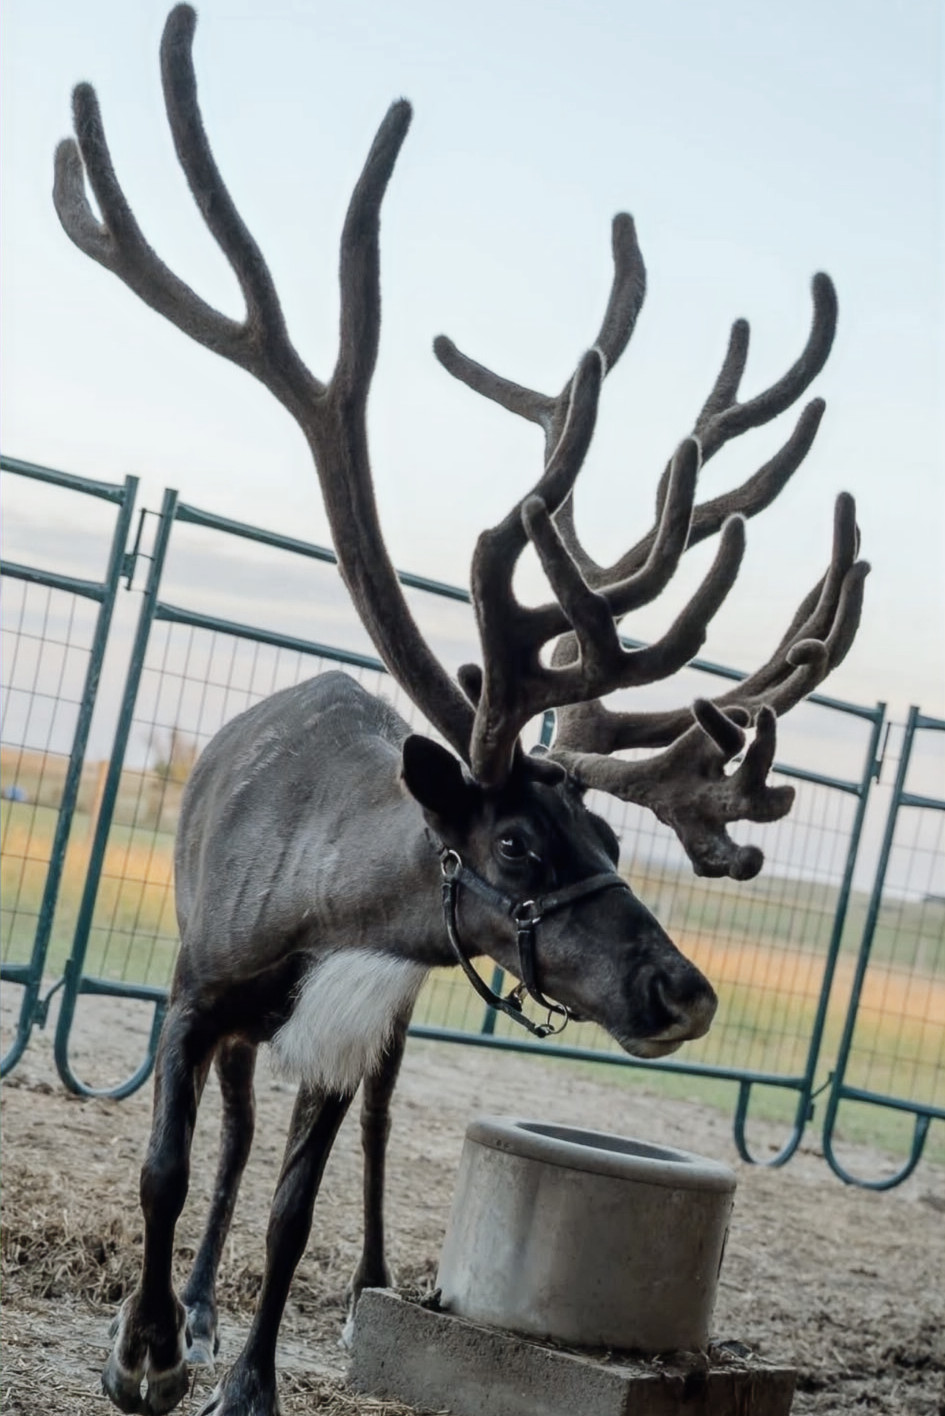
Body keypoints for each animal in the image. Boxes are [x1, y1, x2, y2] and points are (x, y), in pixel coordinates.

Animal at [53, 7, 867, 1415]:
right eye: (520, 845)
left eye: (614, 840)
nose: (686, 991)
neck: (328, 908)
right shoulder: (197, 988)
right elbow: (167, 1169)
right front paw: (147, 1350)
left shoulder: (353, 1026)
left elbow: (295, 1209)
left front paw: (251, 1380)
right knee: (225, 1142)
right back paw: (192, 1307)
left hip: (369, 1048)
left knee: (333, 1147)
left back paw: (359, 1281)